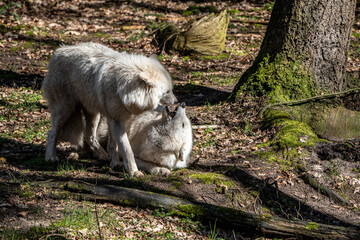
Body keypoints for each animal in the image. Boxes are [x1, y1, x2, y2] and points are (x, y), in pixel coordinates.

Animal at [41, 41, 176, 176]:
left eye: (171, 89)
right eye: (167, 92)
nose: (176, 101)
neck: (124, 86)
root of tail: (58, 51)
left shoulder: (114, 117)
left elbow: (113, 145)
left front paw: (115, 163)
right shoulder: (117, 120)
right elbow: (127, 148)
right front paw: (133, 171)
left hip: (94, 113)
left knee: (89, 136)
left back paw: (102, 155)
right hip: (65, 110)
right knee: (52, 132)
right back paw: (50, 156)